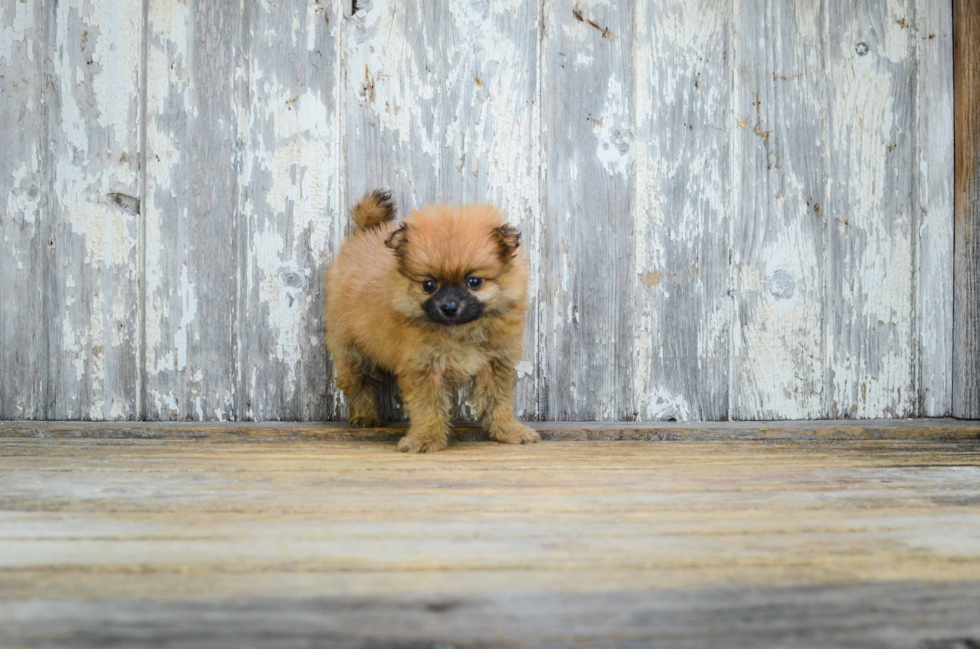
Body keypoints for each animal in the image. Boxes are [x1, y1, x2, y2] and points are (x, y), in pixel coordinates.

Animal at [324, 190, 540, 454]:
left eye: (474, 282)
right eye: (429, 285)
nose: (449, 307)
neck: (459, 331)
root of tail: (365, 233)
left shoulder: (495, 364)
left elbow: (498, 401)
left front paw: (508, 430)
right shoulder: (424, 368)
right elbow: (428, 407)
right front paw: (425, 438)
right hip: (351, 351)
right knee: (359, 383)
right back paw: (364, 416)